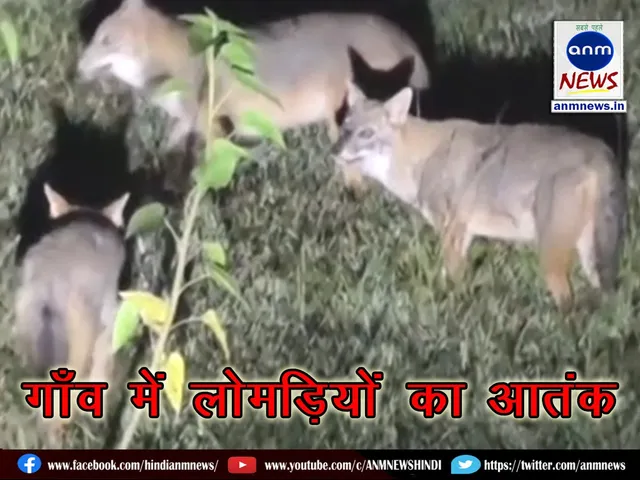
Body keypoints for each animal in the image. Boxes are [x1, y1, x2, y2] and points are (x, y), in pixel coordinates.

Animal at [76, 0, 430, 191]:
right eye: (95, 38)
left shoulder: (216, 128)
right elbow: (170, 151)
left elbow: (209, 169)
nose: (77, 67)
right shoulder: (188, 124)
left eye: (105, 41)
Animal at [331, 83, 627, 311]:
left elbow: (451, 278)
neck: (422, 158)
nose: (334, 151)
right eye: (345, 129)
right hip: (589, 256)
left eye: (366, 134)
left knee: (568, 302)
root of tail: (600, 152)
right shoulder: (463, 233)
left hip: (552, 256)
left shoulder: (452, 229)